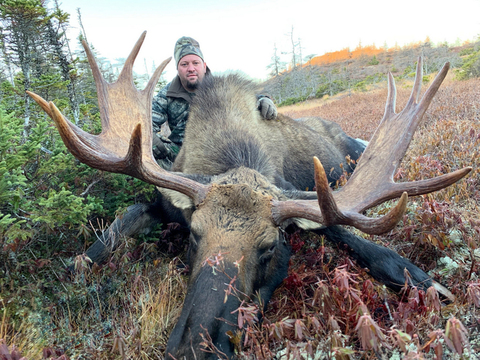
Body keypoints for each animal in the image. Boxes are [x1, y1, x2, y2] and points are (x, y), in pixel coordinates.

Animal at [26, 32, 468, 358]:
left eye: (270, 247)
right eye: (194, 235)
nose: (193, 348)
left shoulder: (302, 197)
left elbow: (358, 240)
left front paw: (428, 284)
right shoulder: (167, 203)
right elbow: (120, 223)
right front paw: (77, 266)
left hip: (352, 150)